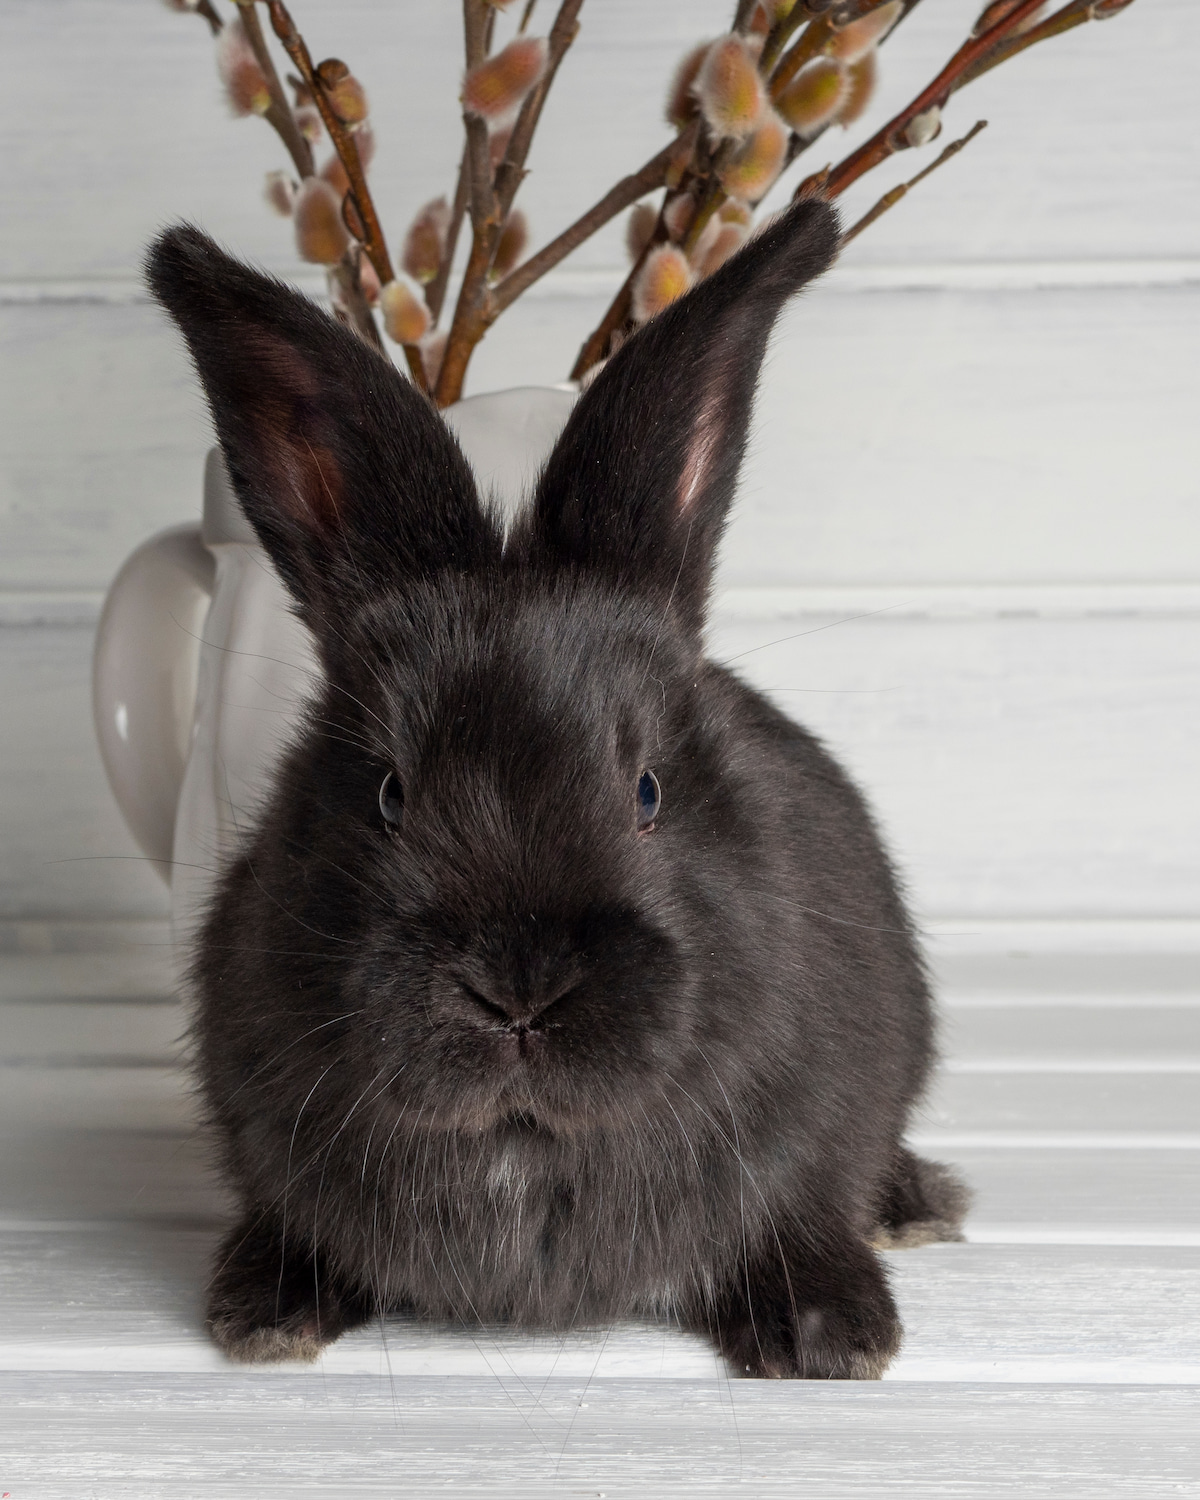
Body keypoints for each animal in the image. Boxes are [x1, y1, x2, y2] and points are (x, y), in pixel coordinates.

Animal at [146, 198, 968, 1380]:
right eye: (389, 794)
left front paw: (832, 1331)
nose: (520, 990)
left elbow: (804, 1205)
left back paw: (915, 1205)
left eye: (649, 790)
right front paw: (267, 1310)